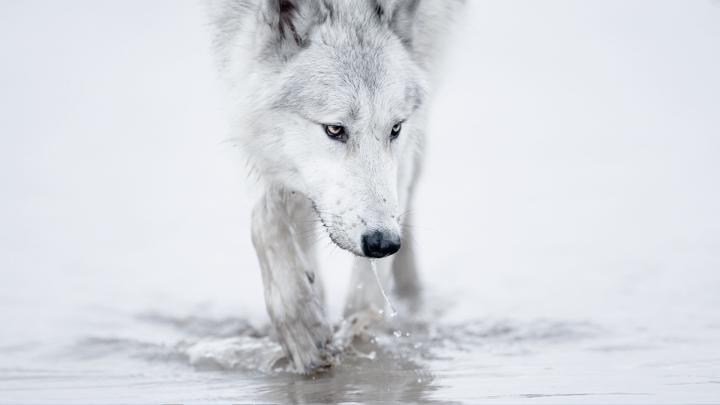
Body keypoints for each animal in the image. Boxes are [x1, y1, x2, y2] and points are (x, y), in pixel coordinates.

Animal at [208, 0, 463, 373]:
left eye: (395, 128)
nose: (383, 242)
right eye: (334, 129)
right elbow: (265, 217)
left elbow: (366, 291)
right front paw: (302, 323)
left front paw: (358, 334)